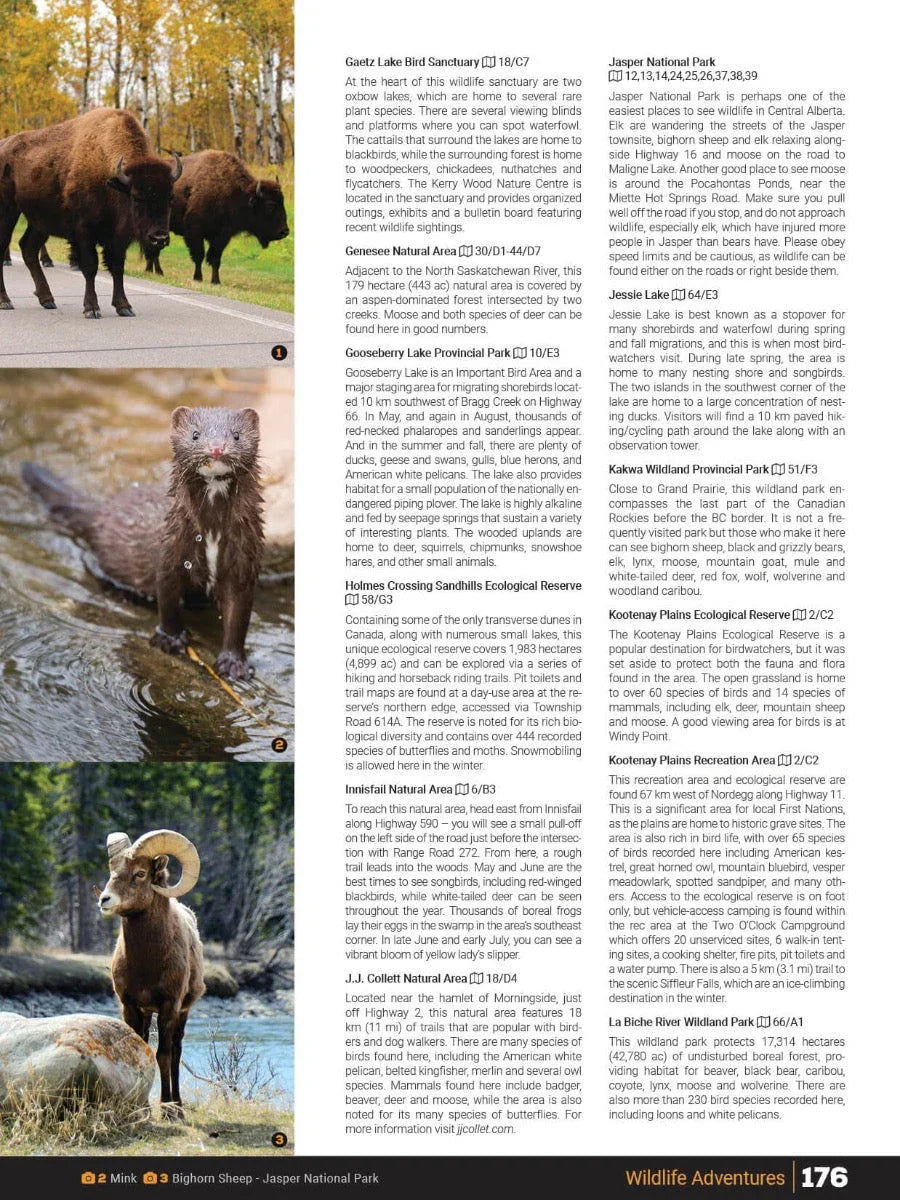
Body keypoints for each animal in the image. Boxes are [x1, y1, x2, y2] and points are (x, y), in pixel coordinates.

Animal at [0, 107, 181, 317]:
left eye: (170, 197)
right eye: (136, 197)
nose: (159, 238)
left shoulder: (118, 238)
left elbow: (117, 267)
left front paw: (124, 307)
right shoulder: (84, 231)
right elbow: (90, 267)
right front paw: (92, 309)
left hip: (39, 222)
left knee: (28, 248)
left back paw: (47, 299)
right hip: (8, 211)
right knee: (5, 247)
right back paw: (6, 301)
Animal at [97, 829, 205, 1118]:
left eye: (140, 873)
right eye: (112, 870)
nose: (104, 900)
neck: (147, 964)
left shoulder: (169, 1006)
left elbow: (163, 1056)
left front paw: (166, 1109)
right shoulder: (131, 1006)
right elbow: (140, 1051)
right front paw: (141, 1109)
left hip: (182, 1013)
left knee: (176, 1052)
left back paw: (177, 1106)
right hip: (148, 1014)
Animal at [143, 150, 289, 284]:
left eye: (282, 202)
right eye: (270, 205)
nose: (285, 231)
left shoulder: (222, 236)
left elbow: (215, 258)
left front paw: (216, 281)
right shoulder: (195, 232)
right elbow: (199, 255)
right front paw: (198, 278)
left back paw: (154, 271)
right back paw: (155, 271)